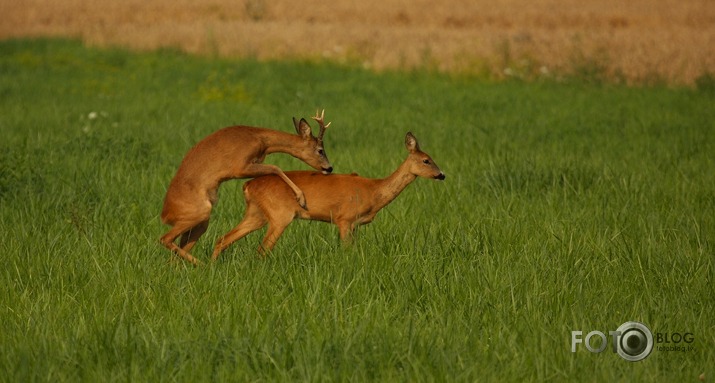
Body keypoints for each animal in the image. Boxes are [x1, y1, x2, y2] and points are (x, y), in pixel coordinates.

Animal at [159, 109, 332, 266]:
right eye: (320, 150)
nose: (329, 168)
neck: (262, 140)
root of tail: (165, 215)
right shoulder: (239, 166)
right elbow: (275, 167)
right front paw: (301, 199)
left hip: (200, 223)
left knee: (176, 251)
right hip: (198, 213)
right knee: (164, 239)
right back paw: (201, 263)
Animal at [213, 132, 444, 260]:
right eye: (426, 160)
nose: (442, 174)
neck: (374, 191)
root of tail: (248, 185)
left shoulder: (355, 225)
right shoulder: (344, 219)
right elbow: (347, 252)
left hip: (257, 213)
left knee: (223, 238)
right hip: (280, 215)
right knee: (262, 249)